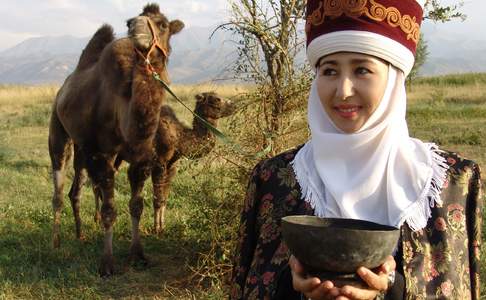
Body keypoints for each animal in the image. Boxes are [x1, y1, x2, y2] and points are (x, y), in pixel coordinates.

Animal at [48, 4, 184, 276]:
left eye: (163, 24)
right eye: (130, 21)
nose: (135, 28)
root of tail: (64, 88)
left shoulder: (142, 158)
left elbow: (136, 205)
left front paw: (138, 255)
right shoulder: (102, 154)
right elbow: (110, 209)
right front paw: (107, 263)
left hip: (84, 149)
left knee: (76, 190)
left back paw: (80, 234)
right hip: (59, 131)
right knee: (59, 189)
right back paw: (56, 243)